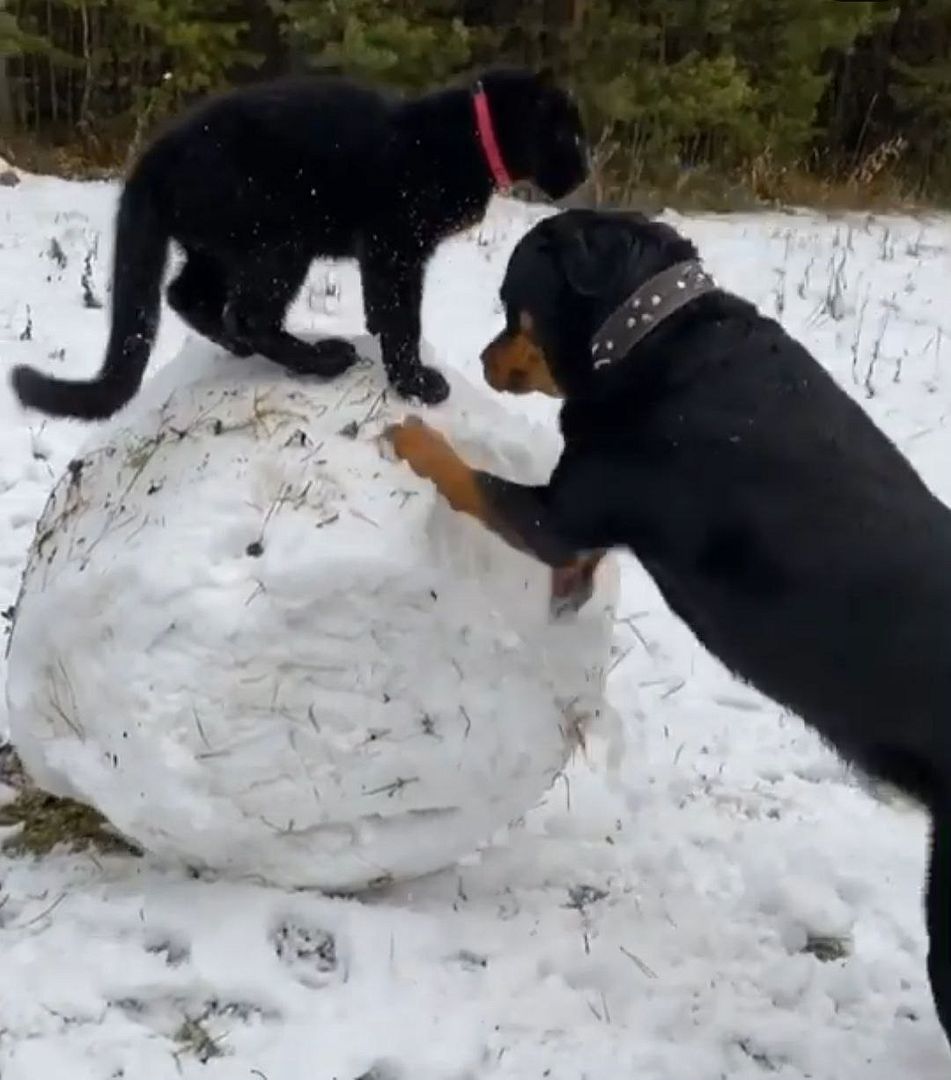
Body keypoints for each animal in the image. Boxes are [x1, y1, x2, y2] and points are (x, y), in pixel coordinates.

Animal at [9, 67, 587, 419]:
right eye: (570, 136)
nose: (584, 170)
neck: (469, 136)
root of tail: (155, 155)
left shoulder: (392, 256)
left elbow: (388, 310)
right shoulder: (395, 245)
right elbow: (403, 317)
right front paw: (416, 383)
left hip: (219, 246)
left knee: (187, 296)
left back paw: (241, 346)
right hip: (280, 242)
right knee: (247, 314)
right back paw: (322, 358)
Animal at [384, 208, 949, 1054]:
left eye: (510, 304)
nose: (481, 358)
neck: (650, 336)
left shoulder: (557, 510)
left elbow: (469, 480)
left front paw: (415, 438)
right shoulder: (576, 521)